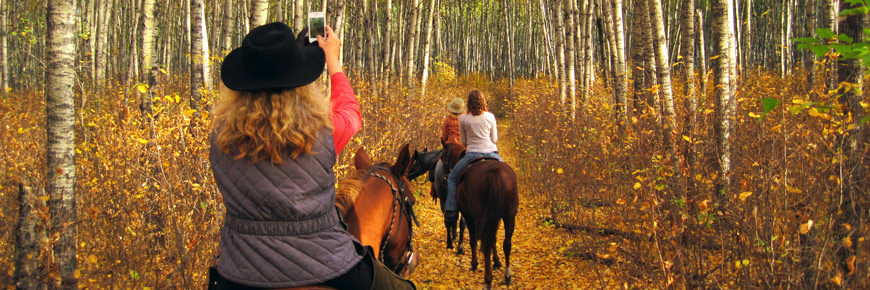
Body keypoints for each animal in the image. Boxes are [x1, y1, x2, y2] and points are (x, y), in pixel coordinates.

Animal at [442, 142, 516, 288]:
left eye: (443, 158)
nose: (445, 175)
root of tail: (495, 173)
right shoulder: (494, 218)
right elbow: (493, 239)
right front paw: (497, 262)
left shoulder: (470, 216)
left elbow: (473, 239)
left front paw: (474, 264)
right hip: (510, 215)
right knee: (506, 244)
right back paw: (507, 276)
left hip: (480, 216)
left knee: (485, 243)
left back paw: (487, 280)